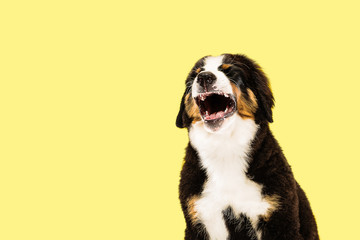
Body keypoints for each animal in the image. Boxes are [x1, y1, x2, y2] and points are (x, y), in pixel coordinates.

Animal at [176, 54, 320, 240]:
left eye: (230, 71)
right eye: (195, 75)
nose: (204, 77)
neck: (225, 149)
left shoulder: (279, 217)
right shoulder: (198, 217)